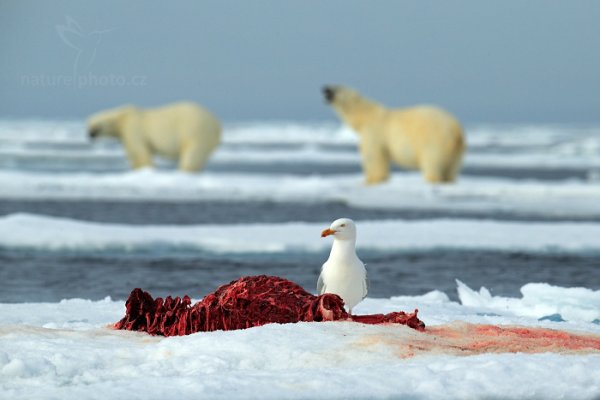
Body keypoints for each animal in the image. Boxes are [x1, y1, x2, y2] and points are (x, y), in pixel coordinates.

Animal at [86, 101, 220, 171]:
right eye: (88, 124)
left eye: (96, 125)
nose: (89, 135)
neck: (123, 118)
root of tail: (217, 125)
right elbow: (132, 153)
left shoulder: (134, 129)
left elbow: (140, 152)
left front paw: (146, 170)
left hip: (195, 131)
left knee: (193, 154)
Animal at [324, 85, 464, 184]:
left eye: (337, 88)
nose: (325, 89)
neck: (366, 117)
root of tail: (456, 131)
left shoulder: (374, 134)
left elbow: (374, 158)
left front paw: (371, 180)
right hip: (457, 153)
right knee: (451, 170)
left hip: (435, 141)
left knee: (433, 162)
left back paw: (432, 179)